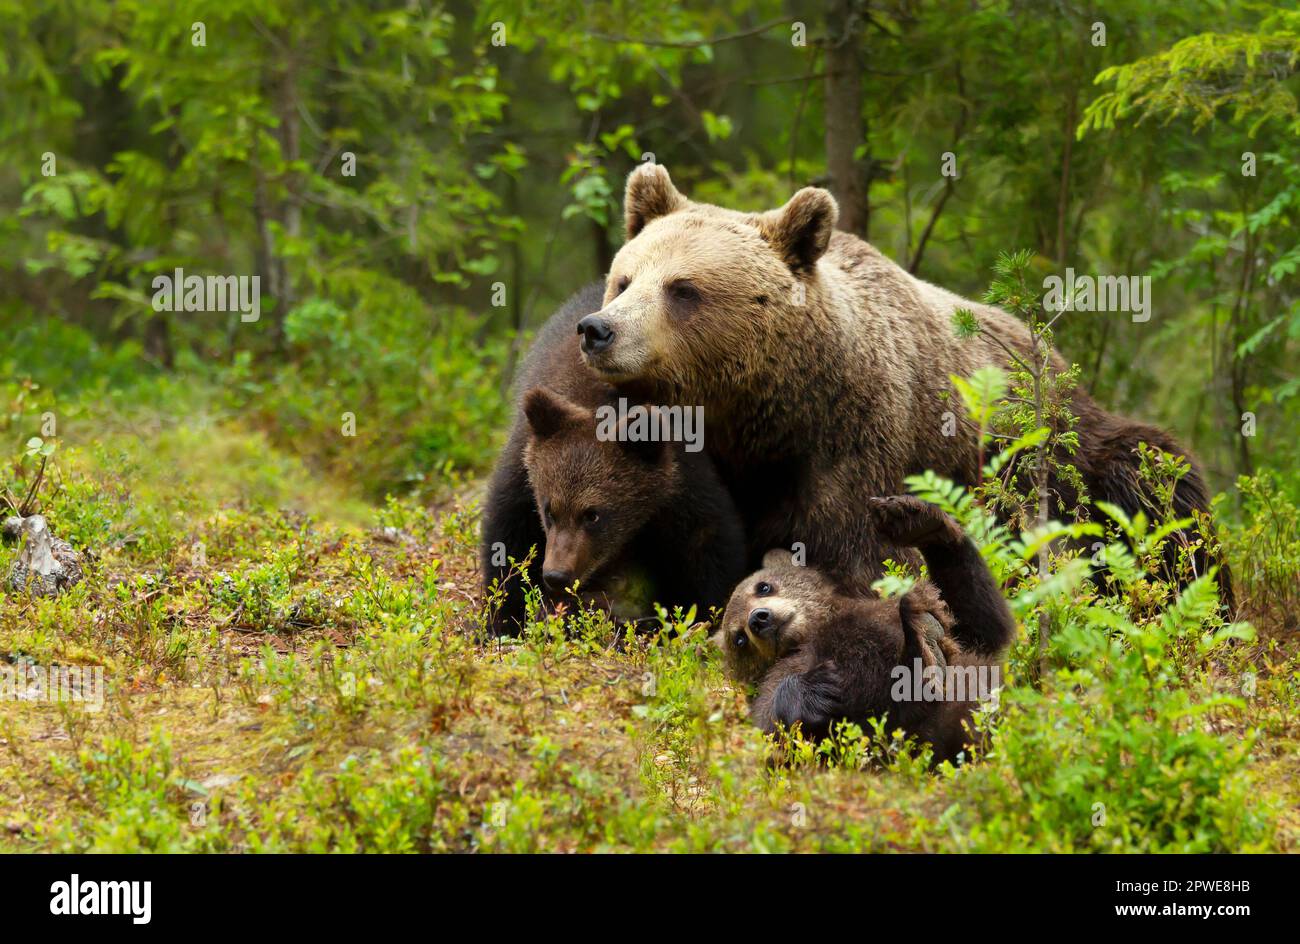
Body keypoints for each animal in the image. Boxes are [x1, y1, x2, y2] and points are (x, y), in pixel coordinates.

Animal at [480, 282, 746, 633]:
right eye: (549, 510)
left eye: (593, 514)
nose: (557, 575)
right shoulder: (523, 472)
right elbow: (507, 540)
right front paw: (504, 618)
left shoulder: (681, 483)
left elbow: (709, 548)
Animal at [572, 163, 1229, 606]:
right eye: (625, 279)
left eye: (682, 289)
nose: (598, 330)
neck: (763, 412)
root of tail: (1052, 357)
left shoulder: (856, 445)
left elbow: (867, 557)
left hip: (1064, 455)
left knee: (1158, 492)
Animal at [713, 496, 1016, 765]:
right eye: (738, 638)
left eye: (763, 586)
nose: (758, 619)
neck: (812, 630)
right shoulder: (779, 676)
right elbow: (776, 737)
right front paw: (815, 686)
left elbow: (981, 626)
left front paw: (920, 520)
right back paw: (921, 644)